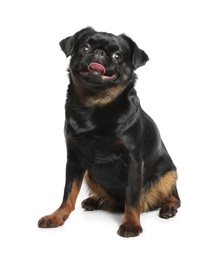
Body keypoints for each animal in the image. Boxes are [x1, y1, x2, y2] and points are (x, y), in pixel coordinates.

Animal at [37, 27, 180, 237]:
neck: (96, 105)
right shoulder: (74, 159)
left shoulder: (133, 160)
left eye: (117, 56)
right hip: (89, 174)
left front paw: (131, 223)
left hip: (169, 173)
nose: (99, 52)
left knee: (173, 195)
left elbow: (132, 196)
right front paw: (57, 216)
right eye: (84, 47)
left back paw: (168, 207)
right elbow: (68, 192)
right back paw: (95, 200)